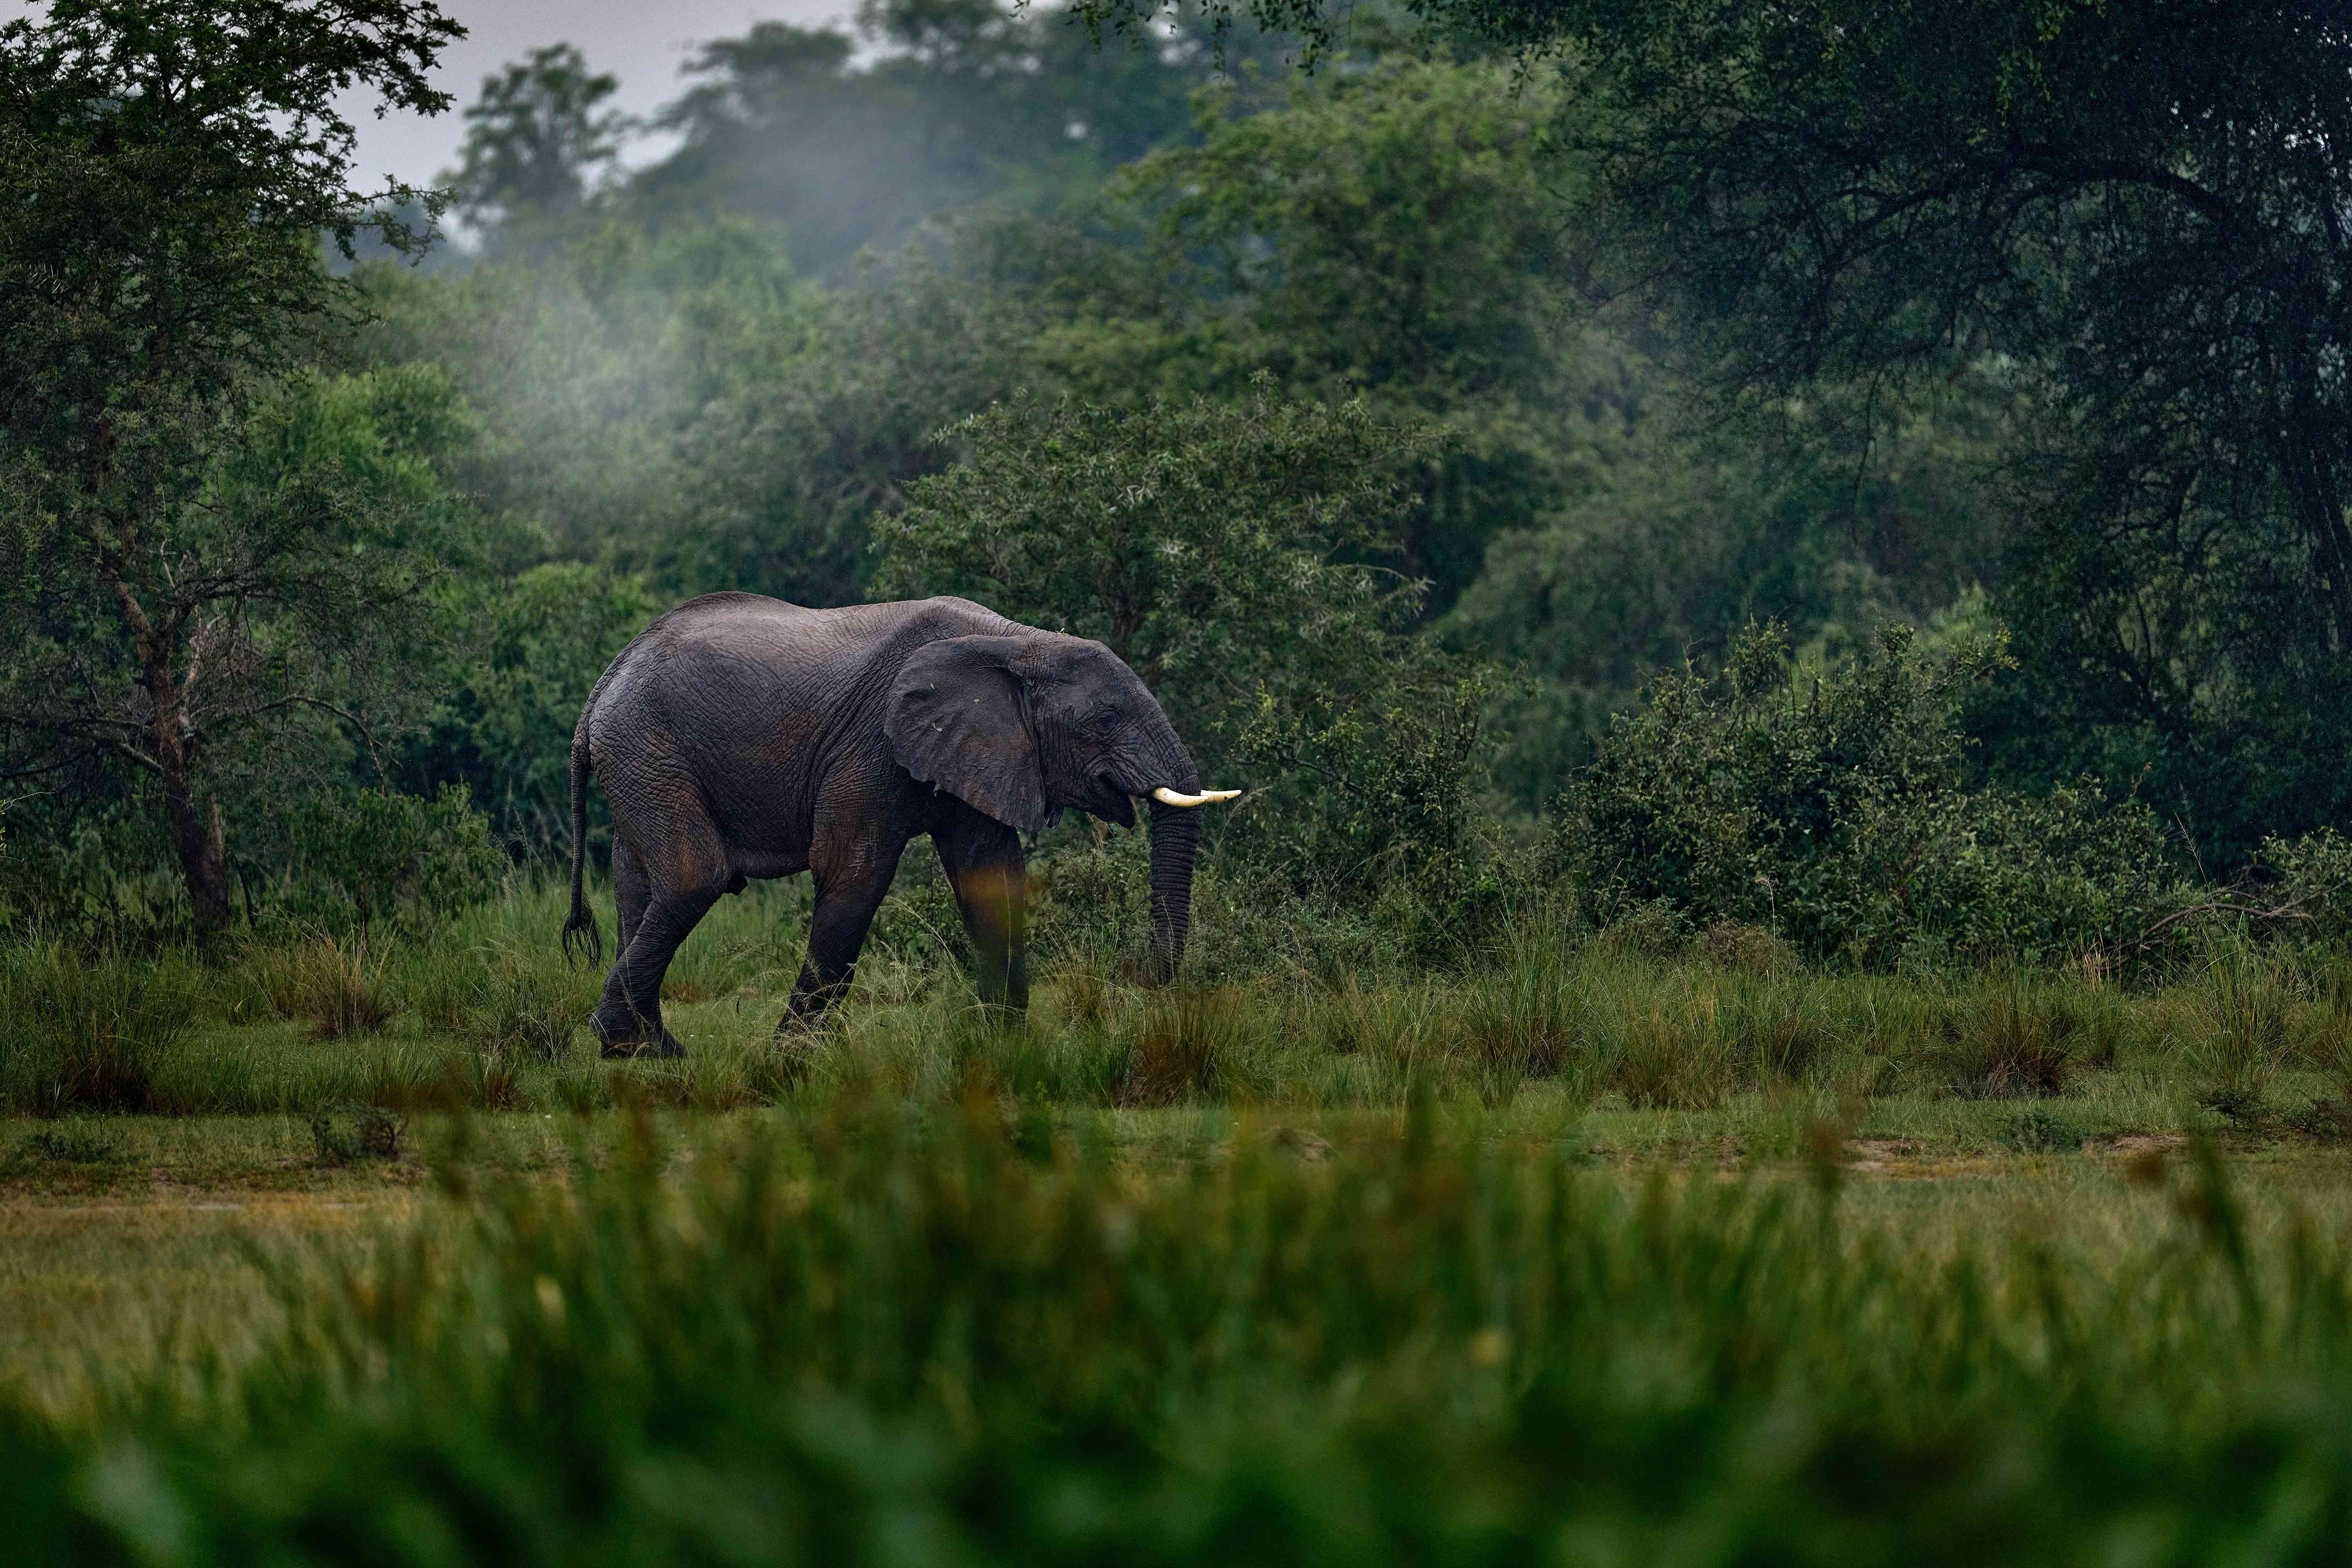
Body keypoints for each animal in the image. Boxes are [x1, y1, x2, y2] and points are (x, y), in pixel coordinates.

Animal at [559, 592, 1239, 1055]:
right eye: (1103, 718)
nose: (1146, 978)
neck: (1018, 642)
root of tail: (602, 686)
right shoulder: (870, 748)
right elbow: (854, 878)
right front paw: (787, 1063)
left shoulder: (977, 748)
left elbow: (992, 878)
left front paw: (1006, 1054)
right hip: (648, 747)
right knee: (694, 877)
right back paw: (636, 1046)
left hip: (640, 759)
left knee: (637, 886)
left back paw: (643, 1051)